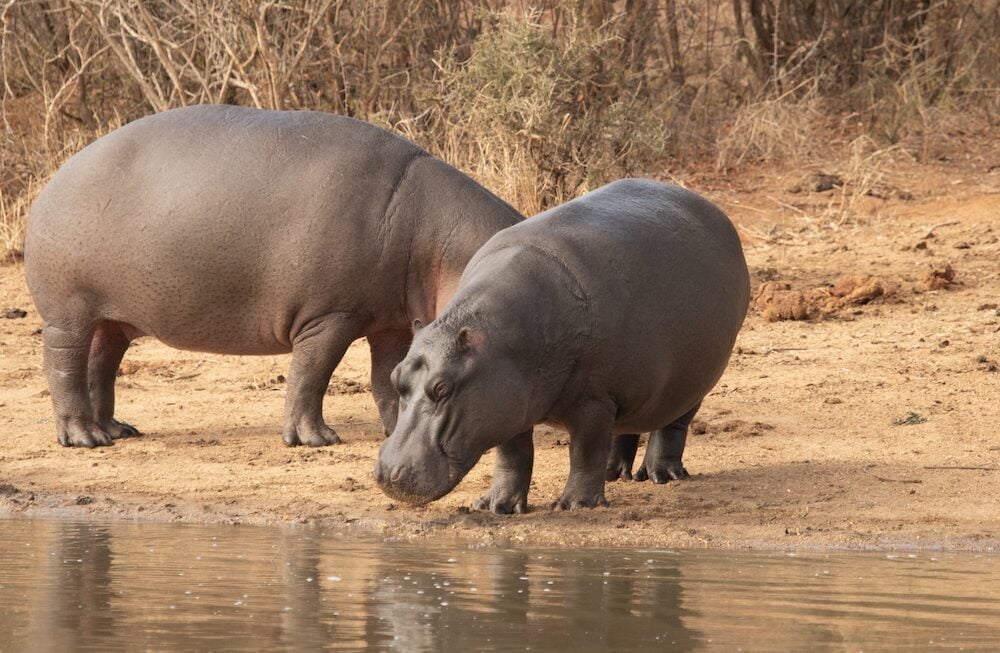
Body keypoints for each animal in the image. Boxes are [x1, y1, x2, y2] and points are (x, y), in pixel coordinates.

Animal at [24, 104, 522, 448]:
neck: (440, 238)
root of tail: (57, 176)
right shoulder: (328, 317)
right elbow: (311, 374)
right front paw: (315, 439)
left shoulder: (392, 321)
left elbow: (388, 377)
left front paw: (398, 429)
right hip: (68, 313)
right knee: (64, 363)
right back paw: (85, 438)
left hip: (113, 317)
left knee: (101, 362)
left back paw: (117, 429)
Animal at [374, 179, 749, 511]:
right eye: (397, 379)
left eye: (442, 388)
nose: (387, 474)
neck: (500, 342)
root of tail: (715, 213)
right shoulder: (507, 403)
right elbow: (513, 456)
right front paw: (495, 506)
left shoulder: (594, 400)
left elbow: (584, 452)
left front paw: (576, 505)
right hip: (635, 383)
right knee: (626, 426)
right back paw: (614, 474)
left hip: (693, 377)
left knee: (673, 424)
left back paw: (662, 475)